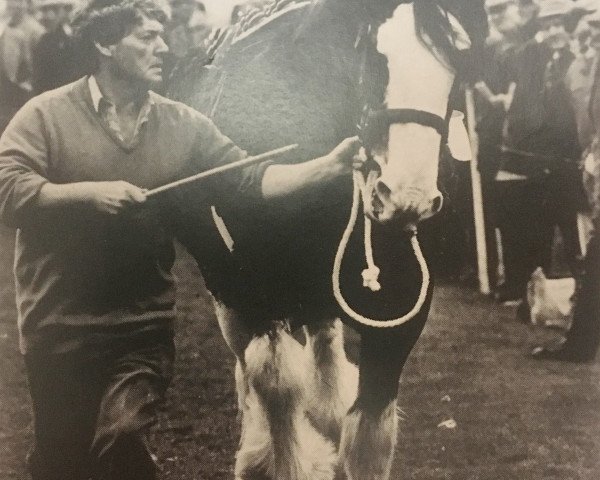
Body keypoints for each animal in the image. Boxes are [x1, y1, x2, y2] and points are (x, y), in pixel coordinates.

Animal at [169, 0, 488, 480]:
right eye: (373, 59)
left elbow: (369, 426)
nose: (407, 196)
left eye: (454, 66)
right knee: (250, 372)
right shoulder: (253, 294)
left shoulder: (400, 311)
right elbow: (276, 388)